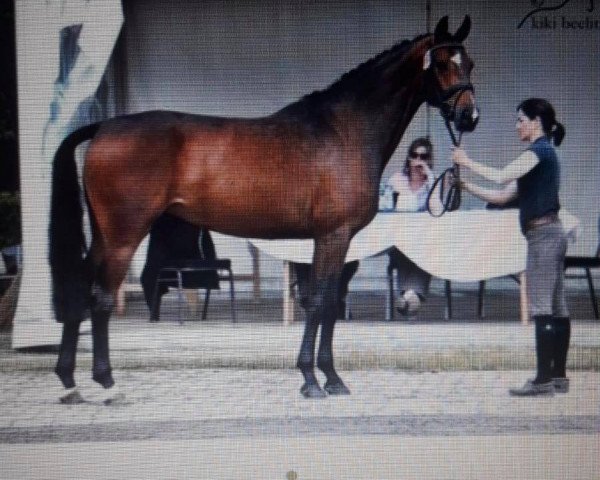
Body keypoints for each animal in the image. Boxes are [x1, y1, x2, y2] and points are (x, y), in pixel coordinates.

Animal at [49, 15, 478, 402]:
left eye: (470, 63)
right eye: (443, 62)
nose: (469, 116)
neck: (344, 132)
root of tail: (105, 127)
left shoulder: (337, 243)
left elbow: (329, 304)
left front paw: (329, 378)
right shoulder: (333, 237)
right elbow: (320, 302)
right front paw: (315, 379)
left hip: (104, 235)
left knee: (81, 287)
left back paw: (69, 382)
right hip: (123, 236)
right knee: (101, 298)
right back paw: (107, 383)